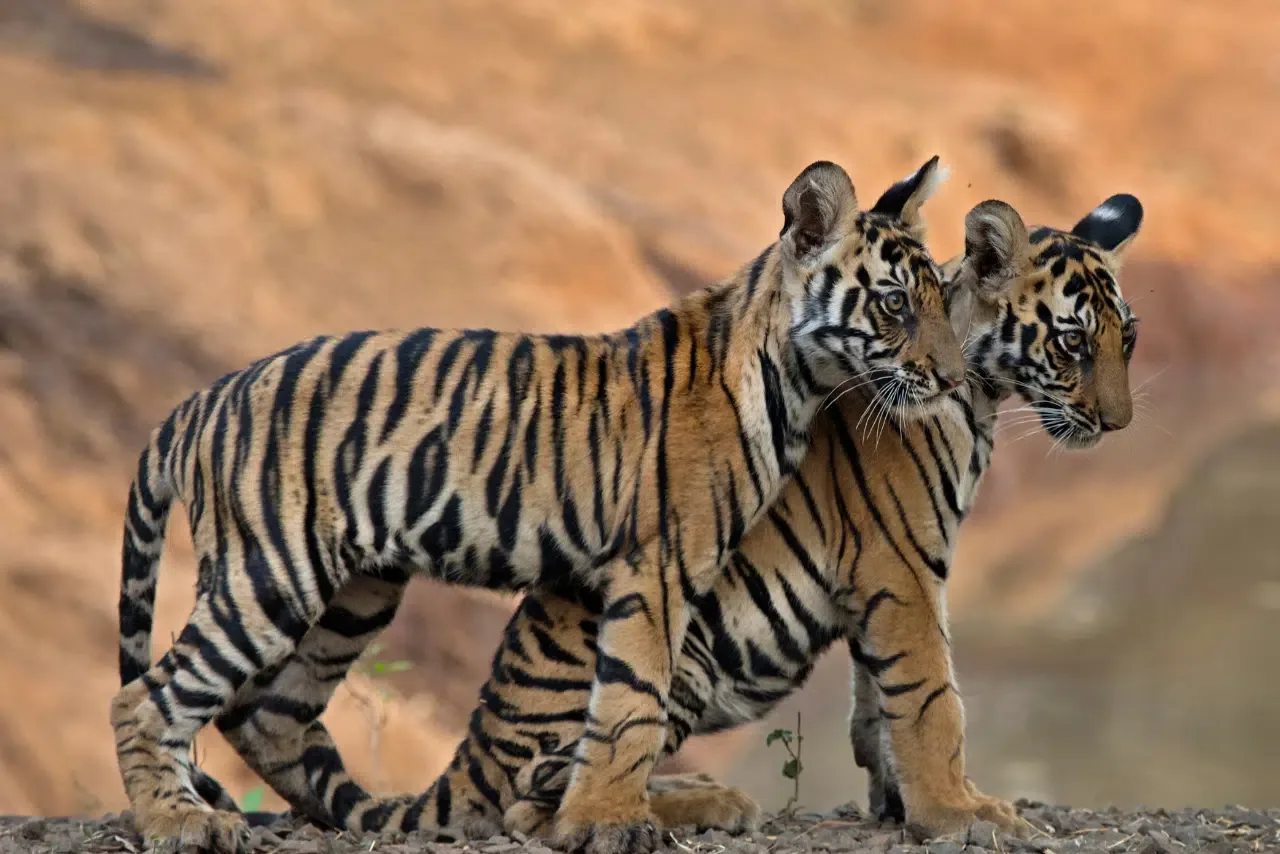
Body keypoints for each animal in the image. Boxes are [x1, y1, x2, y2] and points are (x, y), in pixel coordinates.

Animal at [183, 189, 1144, 844]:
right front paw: (957, 811)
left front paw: (898, 803)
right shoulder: (900, 572)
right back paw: (704, 799)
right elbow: (930, 701)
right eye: (1070, 340)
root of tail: (472, 751)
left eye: (1125, 338)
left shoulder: (888, 584)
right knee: (543, 795)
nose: (1120, 423)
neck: (975, 393)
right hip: (673, 659)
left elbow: (877, 708)